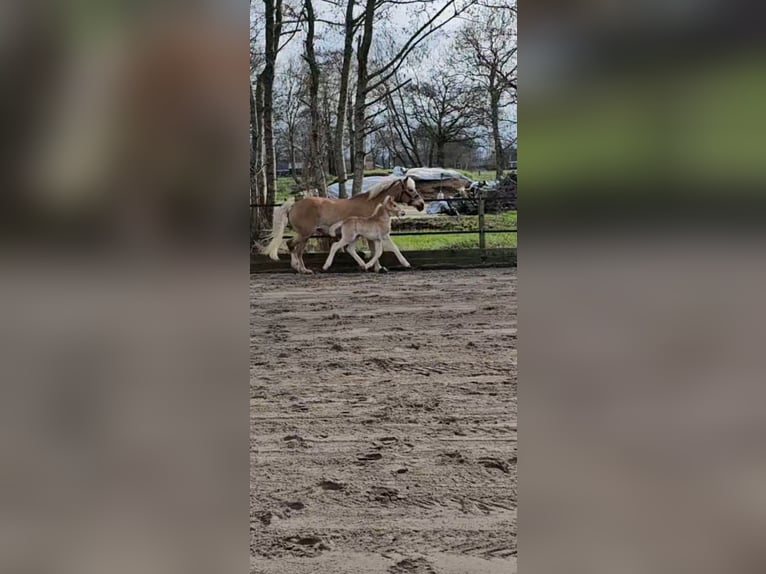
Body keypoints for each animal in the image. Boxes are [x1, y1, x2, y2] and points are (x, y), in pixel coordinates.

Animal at [264, 176, 426, 274]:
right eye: (410, 189)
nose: (422, 204)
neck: (373, 204)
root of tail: (294, 205)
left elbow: (375, 250)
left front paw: (374, 267)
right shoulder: (371, 235)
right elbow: (378, 250)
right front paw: (380, 267)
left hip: (305, 235)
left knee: (297, 249)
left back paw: (302, 269)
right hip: (305, 233)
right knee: (293, 247)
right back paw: (302, 269)